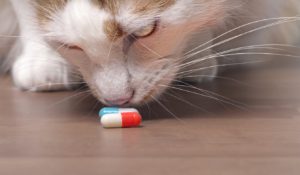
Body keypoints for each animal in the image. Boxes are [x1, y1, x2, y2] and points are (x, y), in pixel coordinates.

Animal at [0, 0, 300, 106]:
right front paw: (43, 62)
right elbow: (28, 15)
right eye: (72, 47)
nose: (116, 100)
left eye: (145, 31)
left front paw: (195, 56)